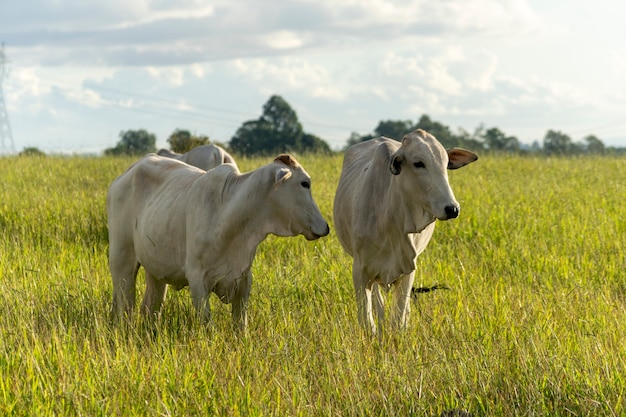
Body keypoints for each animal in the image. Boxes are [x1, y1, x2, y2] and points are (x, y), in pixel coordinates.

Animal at [106, 153, 332, 328]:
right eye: (304, 183)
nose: (326, 227)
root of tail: (125, 175)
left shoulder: (243, 280)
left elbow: (241, 325)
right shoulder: (197, 281)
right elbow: (208, 325)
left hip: (156, 272)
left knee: (149, 307)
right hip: (122, 262)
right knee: (125, 307)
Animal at [334, 128, 476, 334]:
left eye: (445, 163)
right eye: (418, 163)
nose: (452, 208)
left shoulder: (408, 269)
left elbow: (398, 319)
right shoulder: (360, 270)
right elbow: (367, 321)